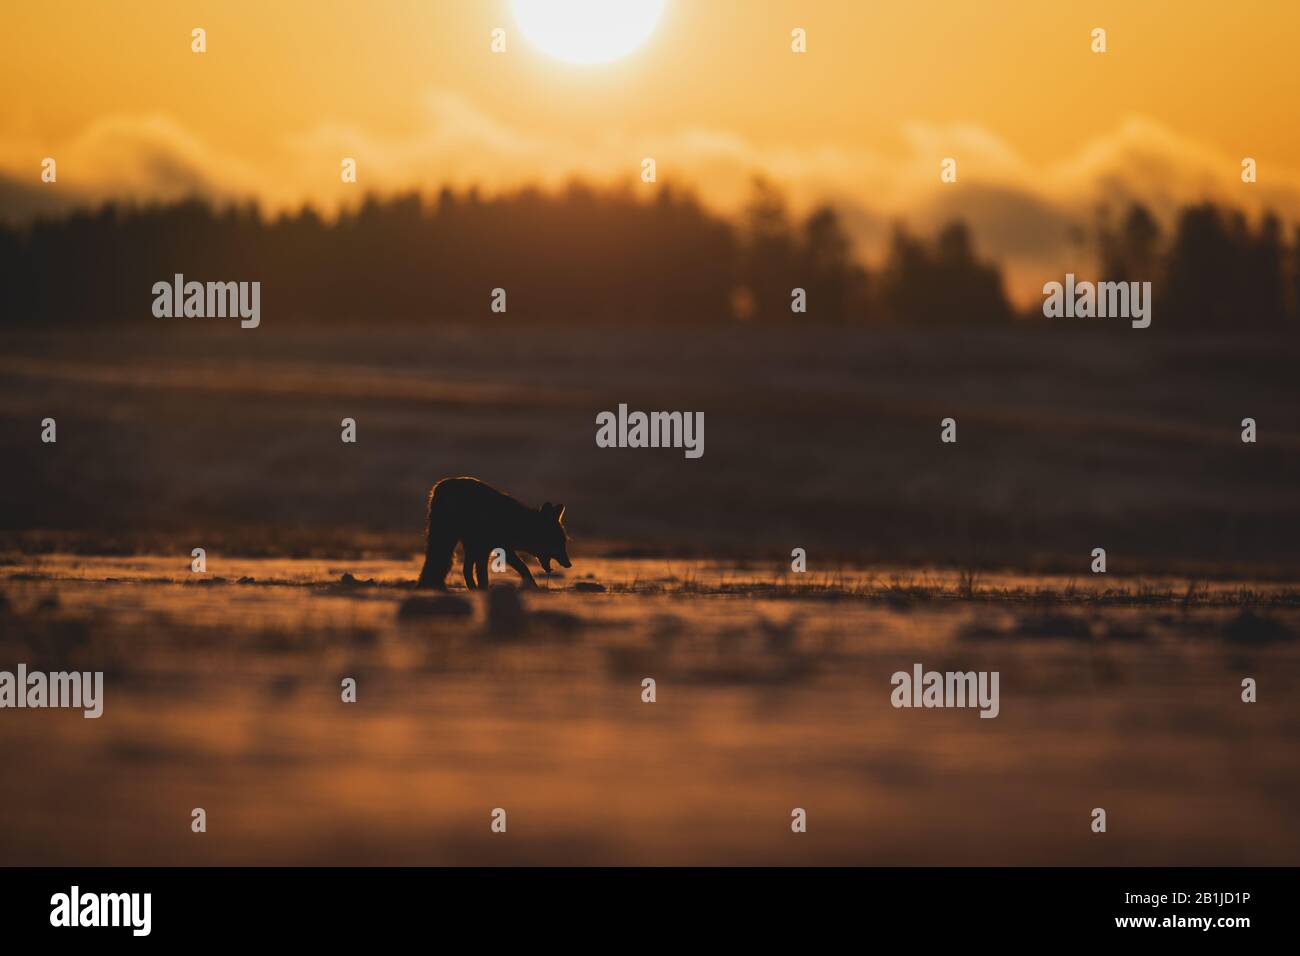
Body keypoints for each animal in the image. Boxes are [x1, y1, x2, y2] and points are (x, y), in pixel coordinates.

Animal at [418, 473, 572, 587]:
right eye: (558, 542)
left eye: (564, 542)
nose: (569, 564)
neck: (518, 525)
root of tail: (439, 486)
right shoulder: (499, 548)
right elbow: (523, 569)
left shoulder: (484, 549)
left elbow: (477, 574)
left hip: (466, 545)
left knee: (463, 569)